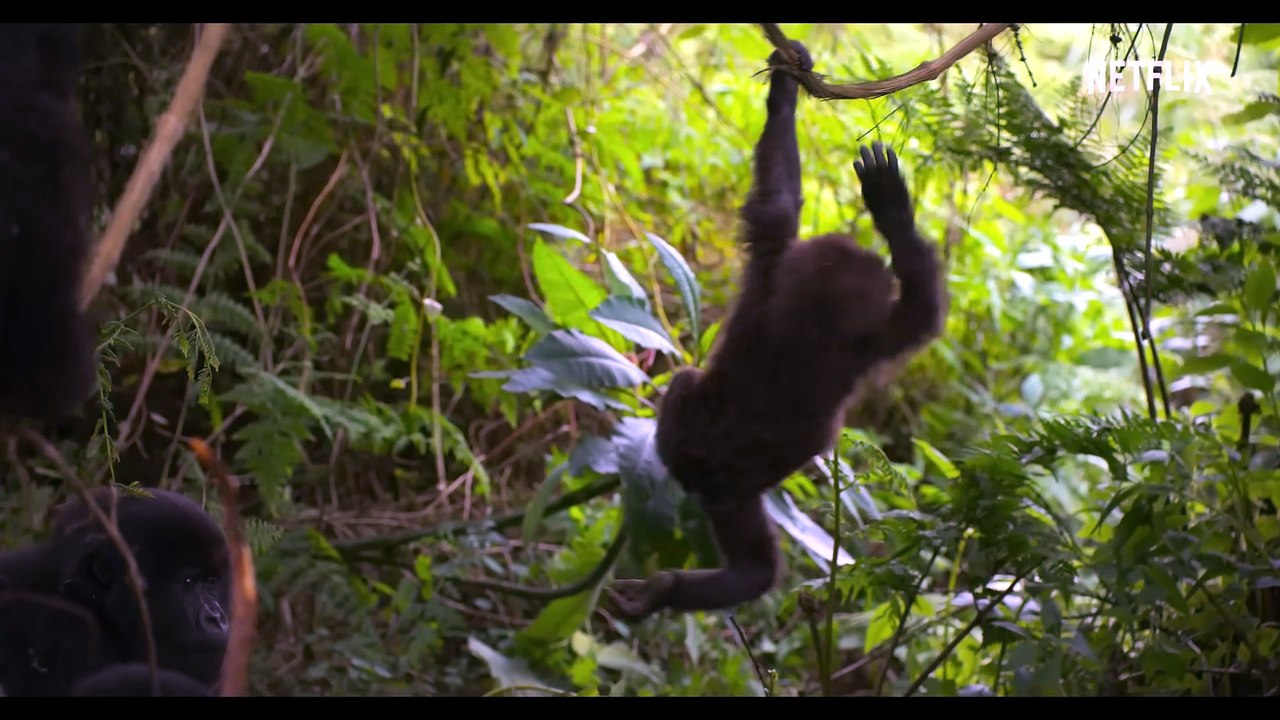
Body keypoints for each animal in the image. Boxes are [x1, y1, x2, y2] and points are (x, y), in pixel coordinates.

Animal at [609, 40, 947, 619]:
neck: (816, 315)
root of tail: (705, 468)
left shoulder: (779, 269)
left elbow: (778, 201)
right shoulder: (846, 317)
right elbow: (918, 305)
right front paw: (892, 210)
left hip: (718, 479)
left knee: (752, 563)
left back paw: (664, 588)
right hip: (720, 473)